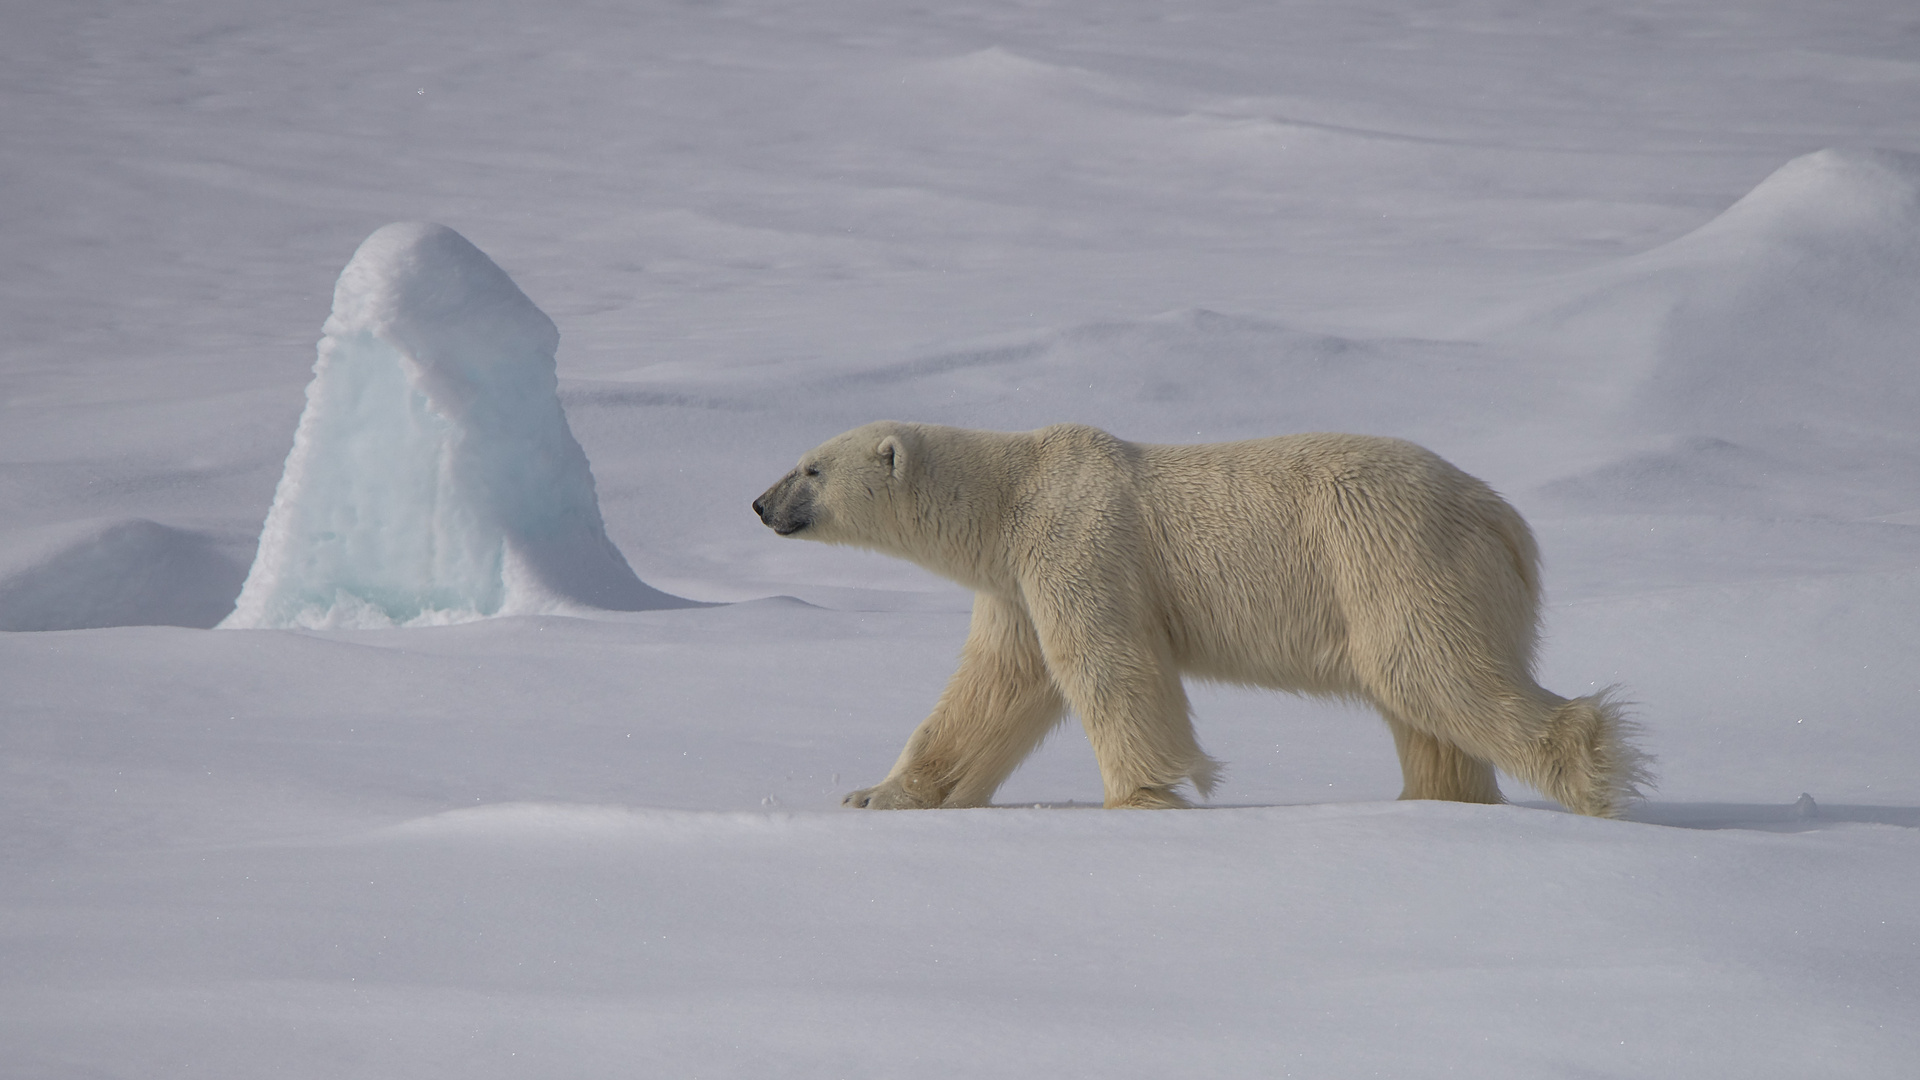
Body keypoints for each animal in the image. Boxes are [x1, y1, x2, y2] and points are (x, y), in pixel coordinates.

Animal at [752, 420, 1651, 814]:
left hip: (1392, 554)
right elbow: (994, 688)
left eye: (810, 467)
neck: (1014, 492)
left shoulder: (1080, 544)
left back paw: (1593, 773)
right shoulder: (1014, 586)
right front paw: (879, 794)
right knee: (1424, 705)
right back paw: (1438, 801)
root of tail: (1504, 521)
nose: (760, 503)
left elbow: (1110, 664)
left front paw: (1143, 796)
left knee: (1437, 671)